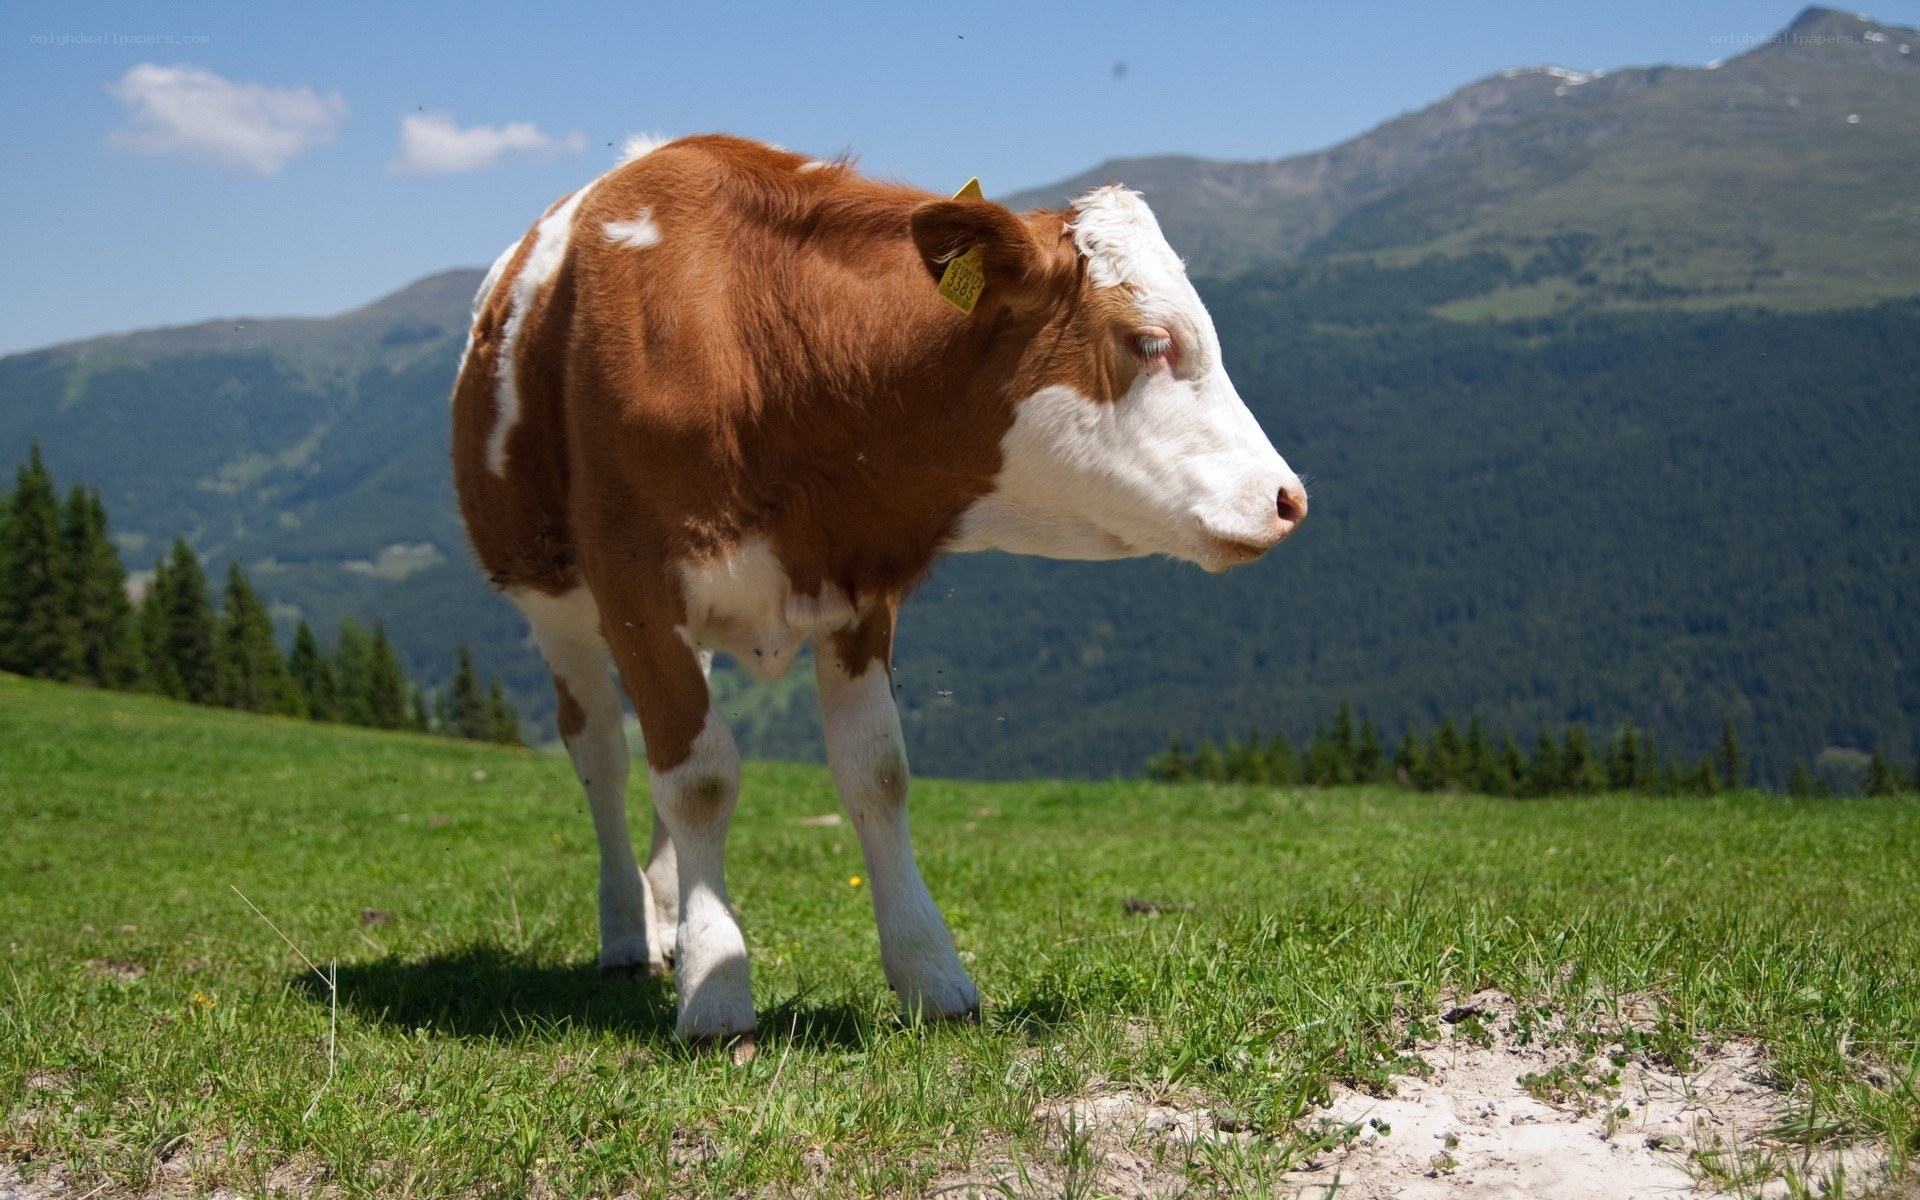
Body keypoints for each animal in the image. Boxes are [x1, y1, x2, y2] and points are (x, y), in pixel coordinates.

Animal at [451, 134, 1306, 1055]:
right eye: (1147, 341)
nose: (1287, 497)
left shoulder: (859, 593)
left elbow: (876, 774)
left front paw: (931, 974)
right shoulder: (638, 590)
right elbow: (699, 782)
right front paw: (715, 994)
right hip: (557, 611)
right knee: (604, 754)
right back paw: (626, 931)